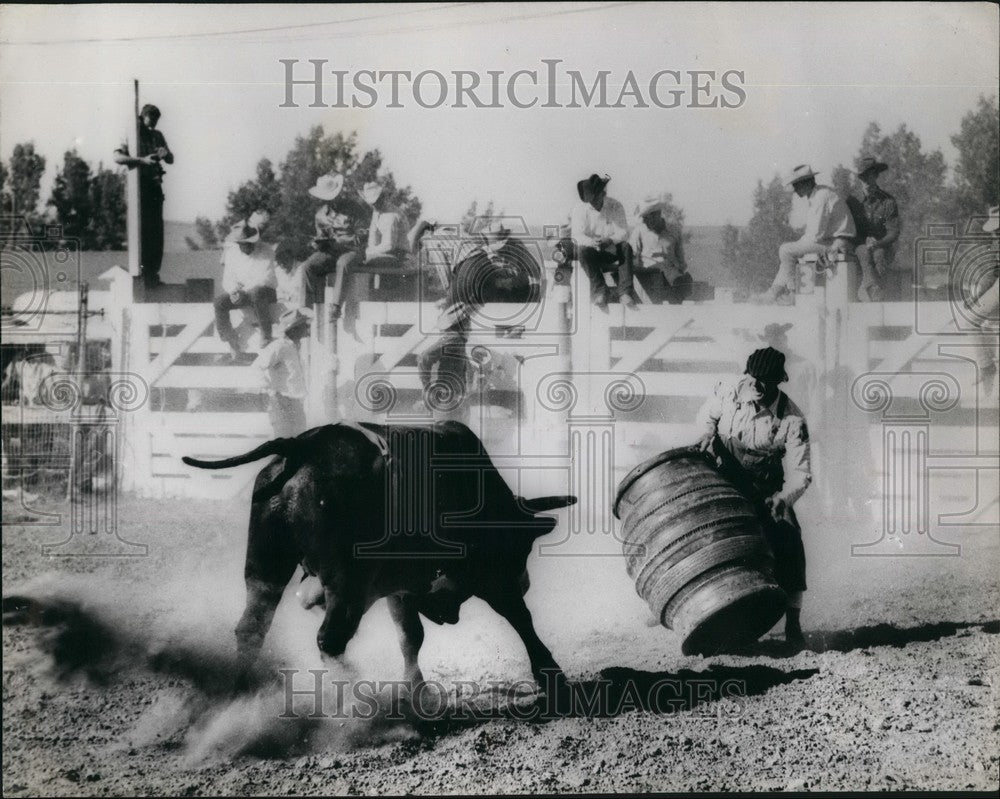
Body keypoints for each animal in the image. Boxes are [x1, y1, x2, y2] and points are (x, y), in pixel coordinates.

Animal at [183, 422, 576, 692]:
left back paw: (243, 694)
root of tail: (304, 446)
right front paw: (551, 675)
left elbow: (410, 635)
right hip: (346, 584)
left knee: (252, 627)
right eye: (521, 549)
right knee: (330, 639)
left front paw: (417, 692)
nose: (525, 582)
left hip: (266, 563)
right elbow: (519, 616)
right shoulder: (491, 576)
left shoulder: (398, 586)